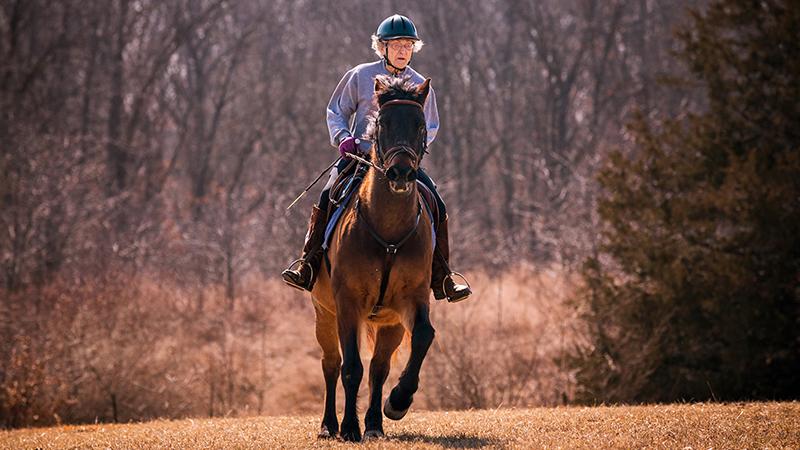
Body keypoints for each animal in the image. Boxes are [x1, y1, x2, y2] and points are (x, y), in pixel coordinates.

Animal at [310, 75, 438, 442]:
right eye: (382, 122)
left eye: (420, 124)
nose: (400, 173)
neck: (388, 231)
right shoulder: (347, 303)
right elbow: (351, 366)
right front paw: (349, 428)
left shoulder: (412, 299)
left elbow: (423, 336)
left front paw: (398, 402)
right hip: (324, 314)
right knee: (331, 364)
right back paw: (329, 426)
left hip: (389, 323)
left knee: (379, 368)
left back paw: (375, 425)